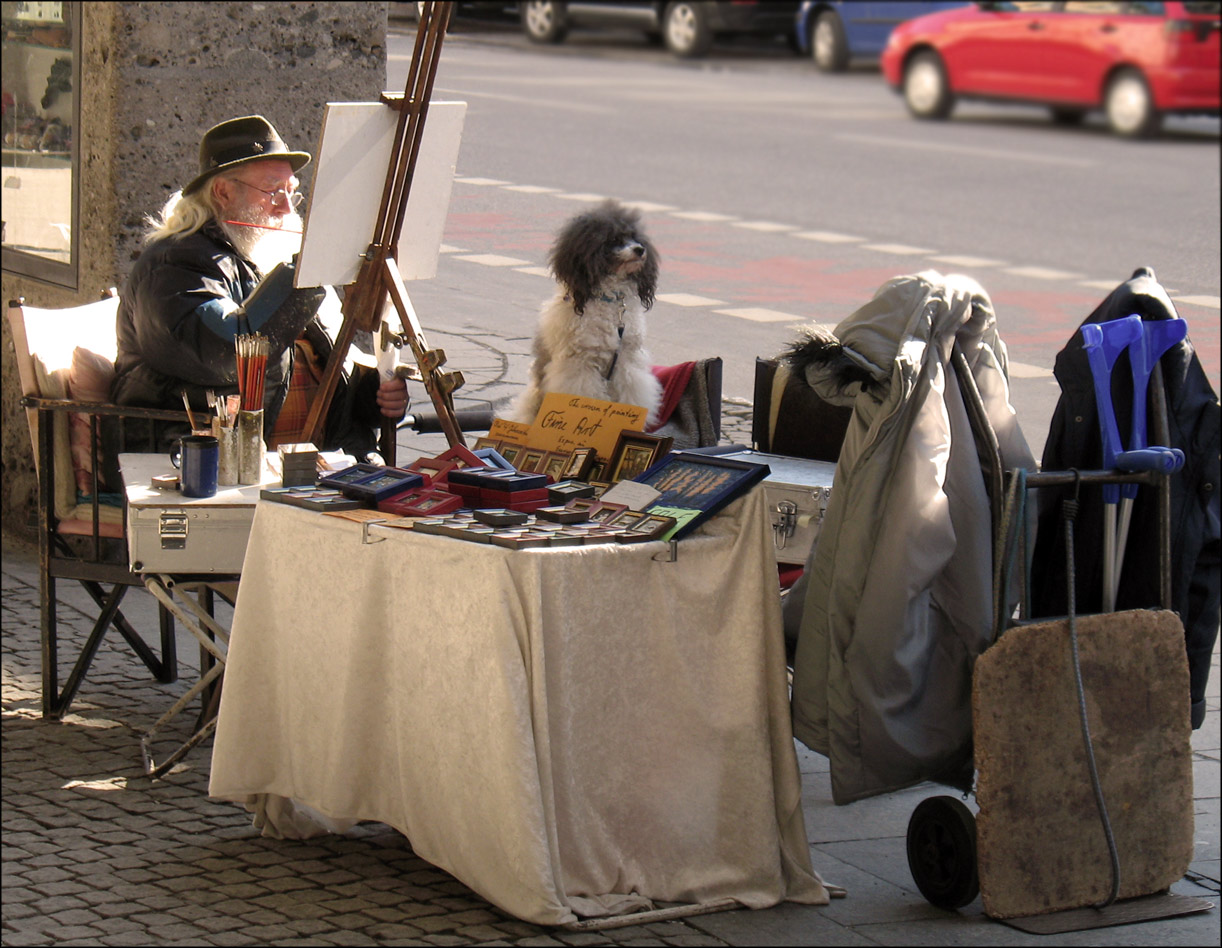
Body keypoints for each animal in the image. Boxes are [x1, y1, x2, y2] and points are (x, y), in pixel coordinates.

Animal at [513, 200, 664, 425]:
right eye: (613, 239)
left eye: (634, 236)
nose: (639, 249)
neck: (609, 301)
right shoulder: (580, 364)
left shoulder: (627, 362)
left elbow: (631, 393)